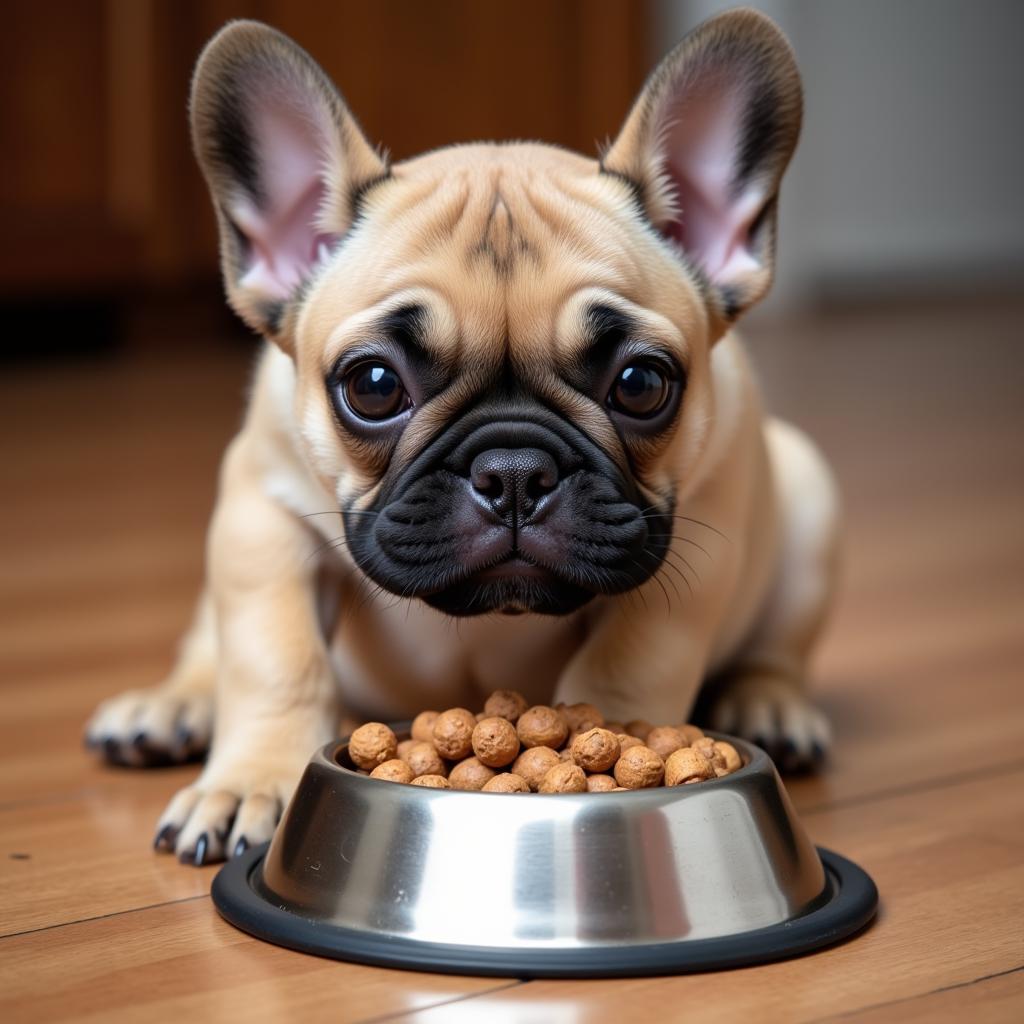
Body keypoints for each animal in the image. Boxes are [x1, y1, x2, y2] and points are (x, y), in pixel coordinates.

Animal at [86, 12, 839, 868]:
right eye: (374, 386)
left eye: (641, 384)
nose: (512, 471)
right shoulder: (264, 522)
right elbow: (276, 662)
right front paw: (251, 781)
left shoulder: (689, 556)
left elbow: (626, 669)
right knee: (207, 647)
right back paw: (171, 706)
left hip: (810, 500)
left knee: (778, 649)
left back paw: (768, 702)